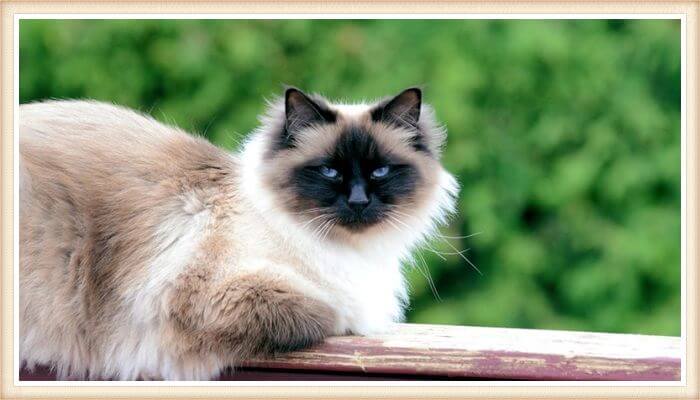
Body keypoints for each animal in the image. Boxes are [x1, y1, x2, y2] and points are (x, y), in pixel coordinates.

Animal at [19, 86, 460, 380]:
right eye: (330, 171)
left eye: (380, 171)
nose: (357, 201)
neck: (348, 251)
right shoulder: (213, 291)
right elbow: (331, 311)